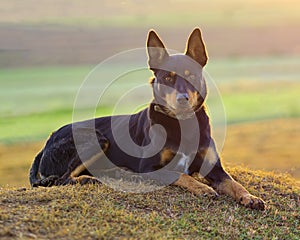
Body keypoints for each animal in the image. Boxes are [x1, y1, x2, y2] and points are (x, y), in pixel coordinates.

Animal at [29, 28, 264, 210]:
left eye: (191, 75)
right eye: (167, 77)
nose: (183, 99)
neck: (183, 124)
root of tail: (47, 141)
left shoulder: (215, 169)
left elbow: (235, 184)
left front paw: (250, 197)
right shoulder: (151, 167)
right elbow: (179, 174)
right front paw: (202, 187)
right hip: (95, 137)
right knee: (62, 179)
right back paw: (89, 178)